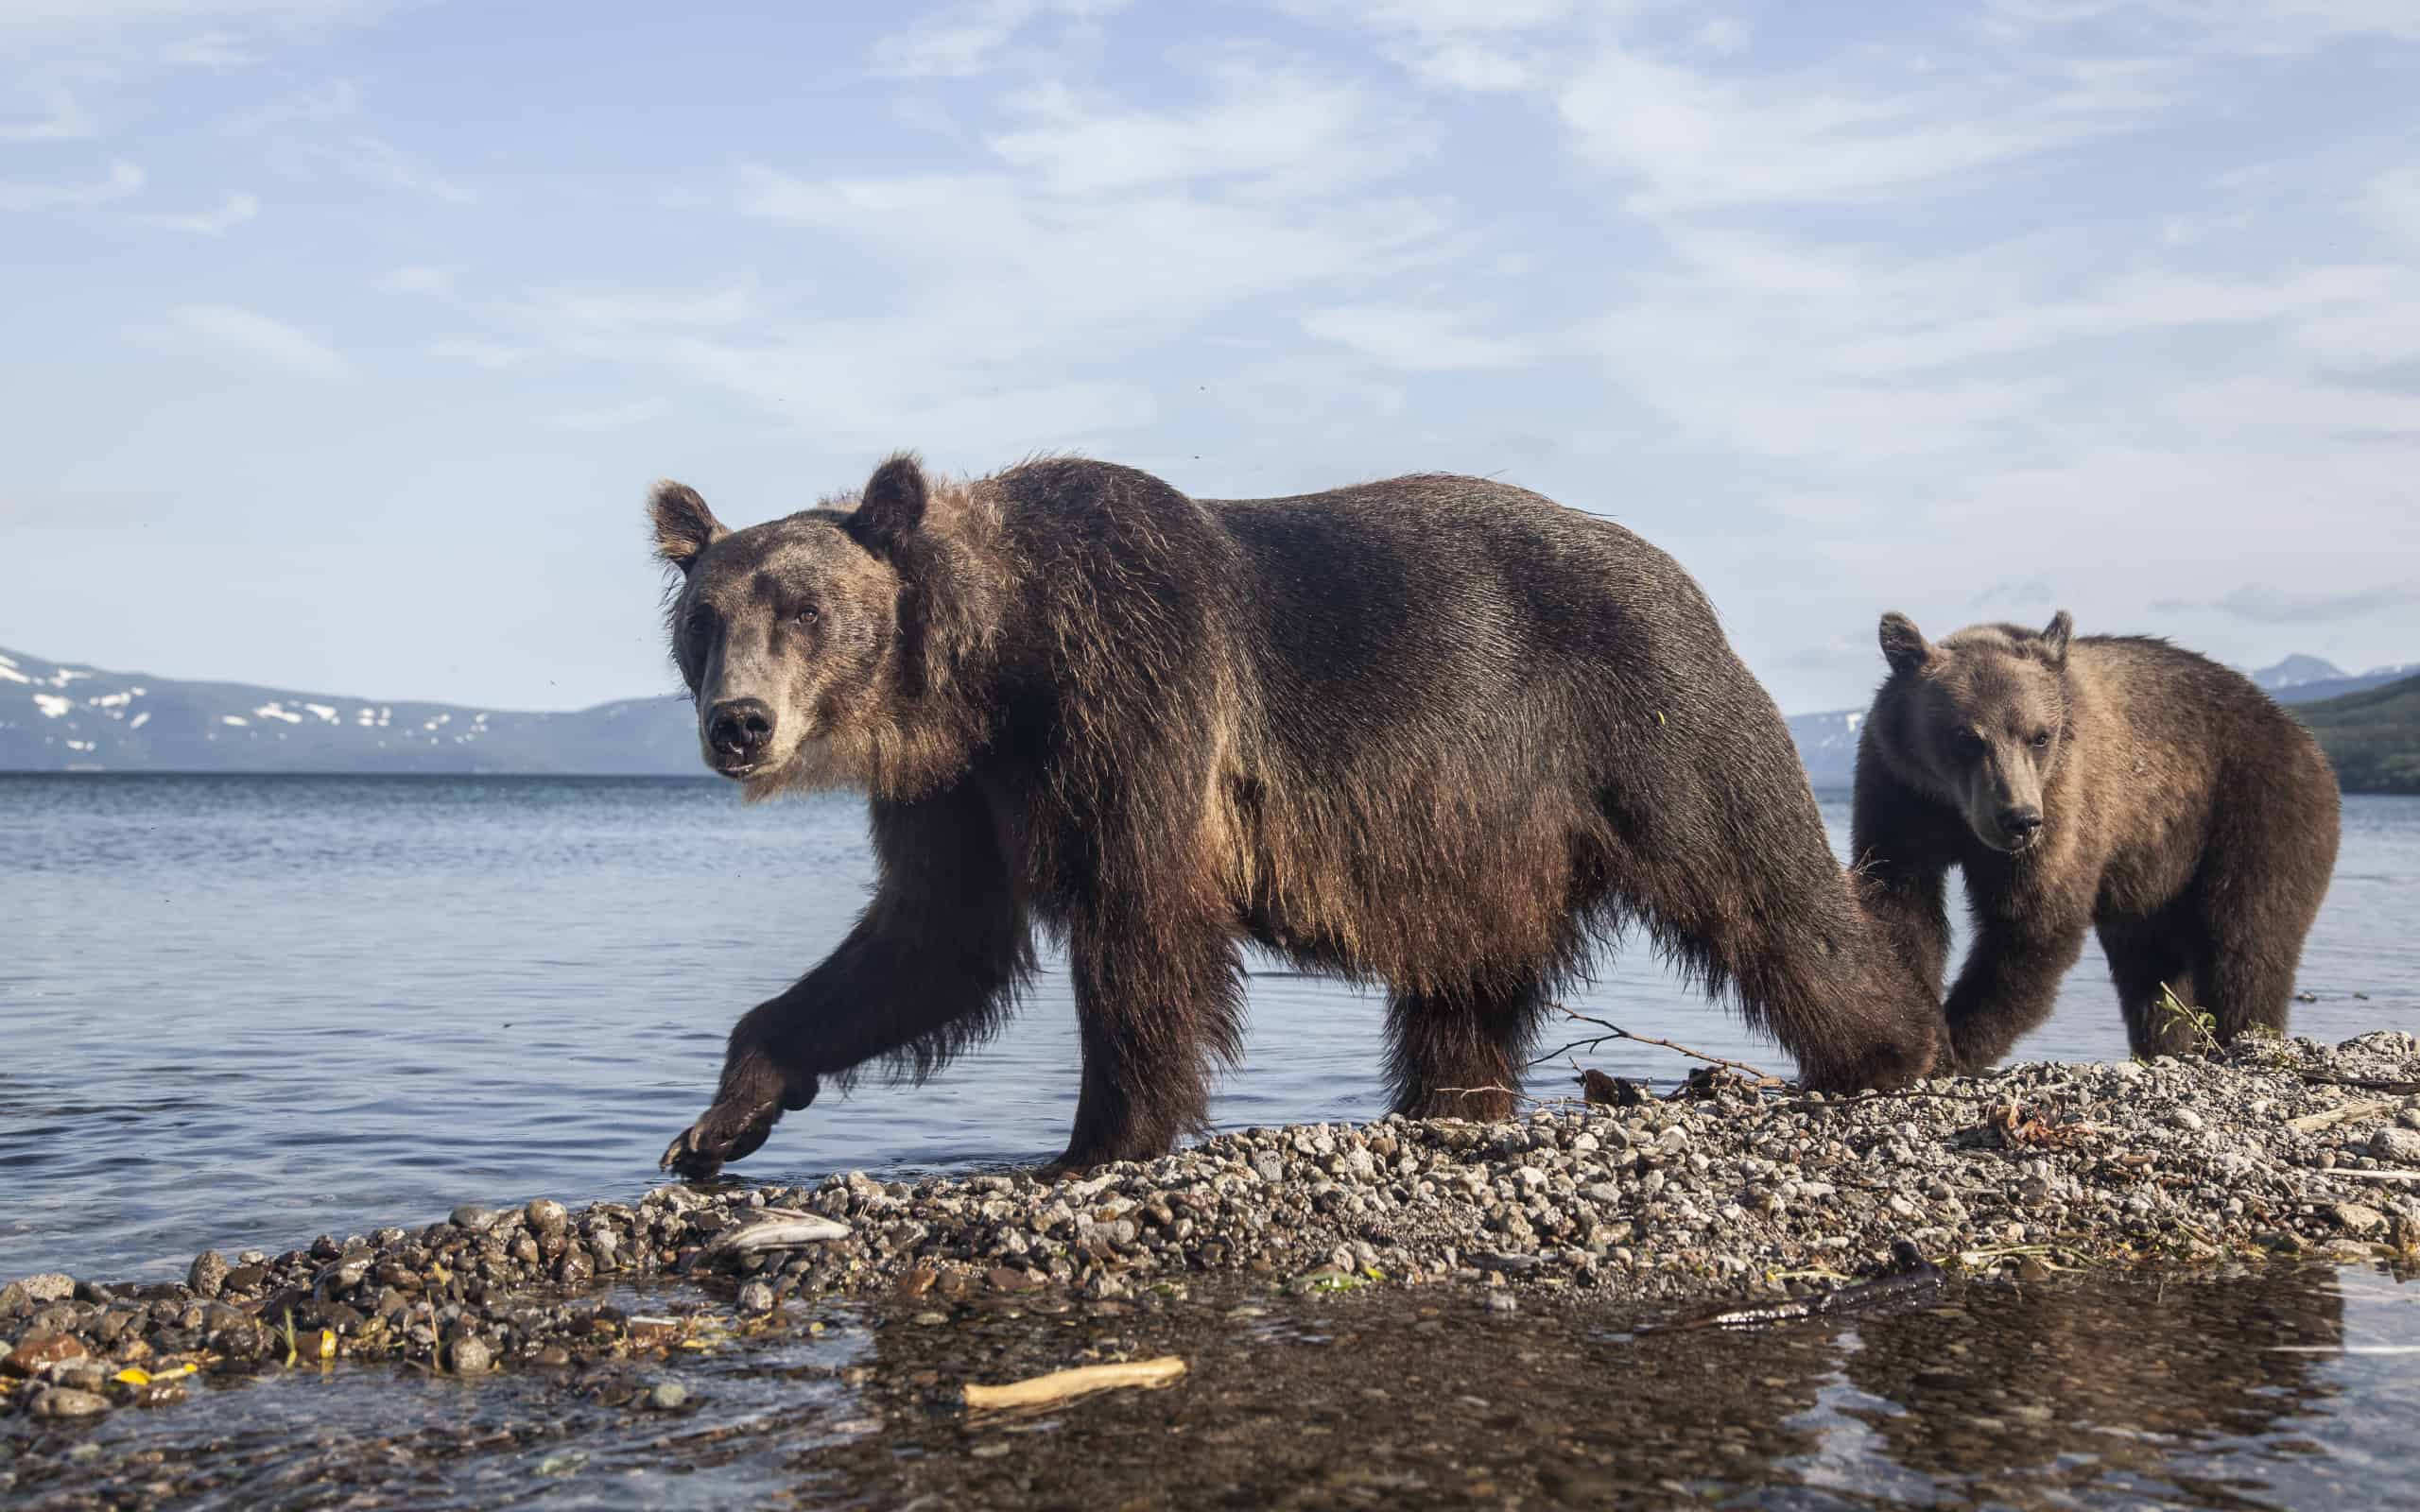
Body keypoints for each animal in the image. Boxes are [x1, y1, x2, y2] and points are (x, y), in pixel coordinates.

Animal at [653, 455, 1936, 1176]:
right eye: (706, 618)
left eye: (803, 606)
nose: (739, 723)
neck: (995, 664)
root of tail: (1682, 573)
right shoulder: (959, 783)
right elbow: (932, 938)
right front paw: (722, 1116)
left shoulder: (1136, 685)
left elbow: (1139, 922)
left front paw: (1097, 1138)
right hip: (1480, 831)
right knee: (1466, 983)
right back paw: (1450, 1102)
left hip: (1641, 708)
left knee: (1754, 878)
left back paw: (1885, 1045)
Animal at [1848, 607, 2342, 1069]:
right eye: (1967, 737)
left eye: (2040, 736)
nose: (2019, 819)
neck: (1955, 810)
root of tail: (2300, 734)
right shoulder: (1899, 795)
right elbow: (1901, 906)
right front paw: (1924, 1027)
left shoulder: (2064, 801)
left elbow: (2033, 924)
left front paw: (1960, 1042)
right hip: (2154, 876)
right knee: (2151, 973)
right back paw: (2164, 1045)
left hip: (2254, 811)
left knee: (2247, 942)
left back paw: (2243, 1036)